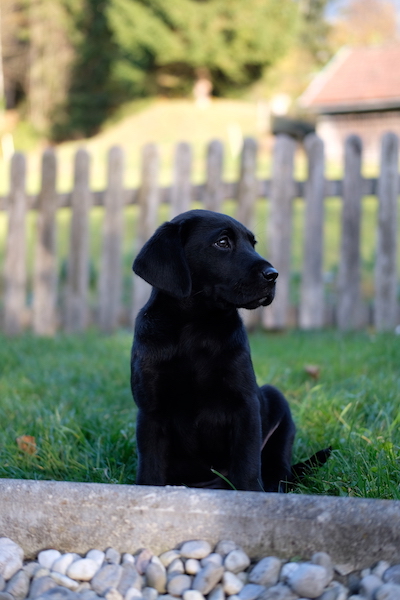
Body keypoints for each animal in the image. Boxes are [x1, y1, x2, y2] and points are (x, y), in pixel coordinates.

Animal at [131, 209, 328, 490]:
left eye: (252, 244)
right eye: (222, 242)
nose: (273, 274)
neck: (196, 329)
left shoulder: (245, 404)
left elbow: (247, 467)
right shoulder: (151, 411)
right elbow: (150, 470)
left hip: (277, 403)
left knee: (279, 468)